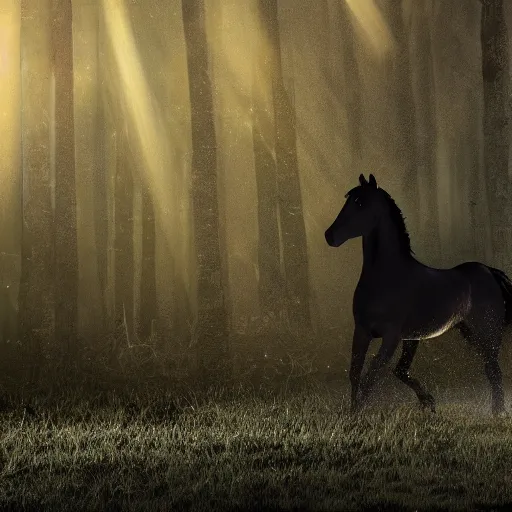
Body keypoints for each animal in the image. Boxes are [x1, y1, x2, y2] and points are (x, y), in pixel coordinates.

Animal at [326, 175, 512, 416]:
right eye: (348, 200)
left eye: (359, 203)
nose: (330, 236)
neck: (386, 277)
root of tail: (489, 271)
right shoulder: (366, 332)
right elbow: (359, 373)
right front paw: (427, 402)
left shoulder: (392, 336)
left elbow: (372, 374)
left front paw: (358, 413)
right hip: (470, 334)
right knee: (490, 368)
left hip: (487, 333)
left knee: (493, 368)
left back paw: (498, 411)